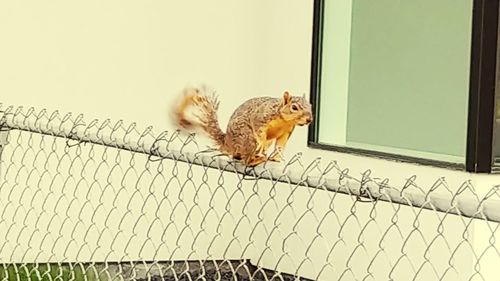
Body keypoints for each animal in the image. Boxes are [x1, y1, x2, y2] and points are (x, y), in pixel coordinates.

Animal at [174, 84, 310, 165]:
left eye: (311, 105)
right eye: (294, 107)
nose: (309, 119)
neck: (285, 121)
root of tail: (227, 143)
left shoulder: (287, 132)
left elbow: (280, 145)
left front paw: (277, 157)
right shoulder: (261, 116)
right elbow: (258, 129)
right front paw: (261, 143)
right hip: (247, 137)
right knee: (245, 159)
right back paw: (255, 159)